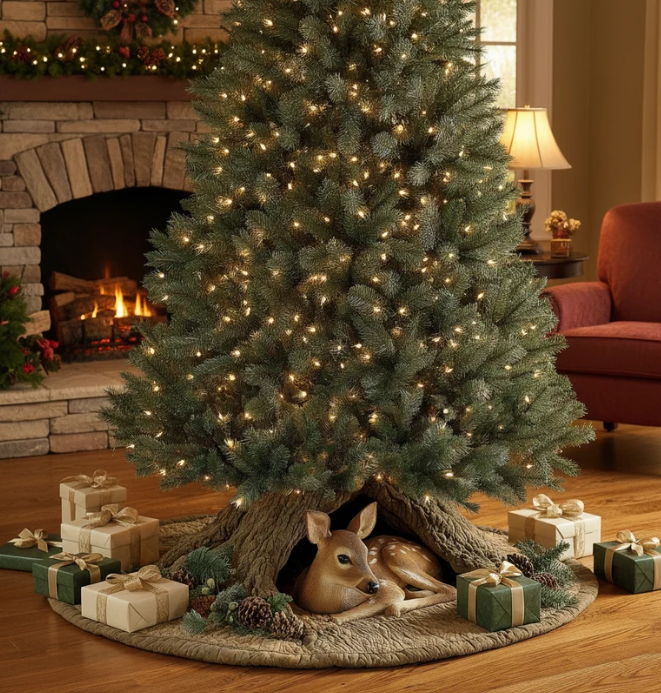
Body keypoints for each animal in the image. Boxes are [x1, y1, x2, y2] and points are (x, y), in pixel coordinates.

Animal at [293, 502, 457, 623]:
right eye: (343, 557)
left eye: (366, 552)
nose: (374, 585)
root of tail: (437, 561)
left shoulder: (388, 586)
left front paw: (334, 618)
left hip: (395, 553)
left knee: (450, 589)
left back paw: (396, 607)